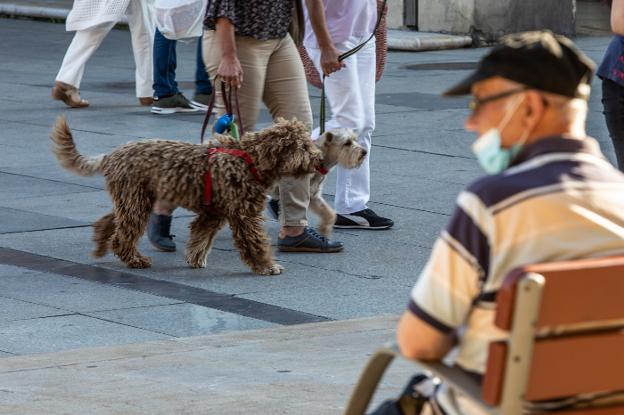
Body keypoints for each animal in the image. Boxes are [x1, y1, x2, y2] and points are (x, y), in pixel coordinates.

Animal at [50, 116, 322, 276]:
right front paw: (266, 265)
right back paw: (135, 260)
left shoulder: (214, 213)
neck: (250, 159)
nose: (319, 159)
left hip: (132, 198)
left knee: (112, 220)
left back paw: (100, 241)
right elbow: (254, 242)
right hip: (136, 200)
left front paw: (195, 259)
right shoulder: (244, 215)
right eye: (302, 146)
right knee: (122, 235)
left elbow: (201, 236)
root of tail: (111, 155)